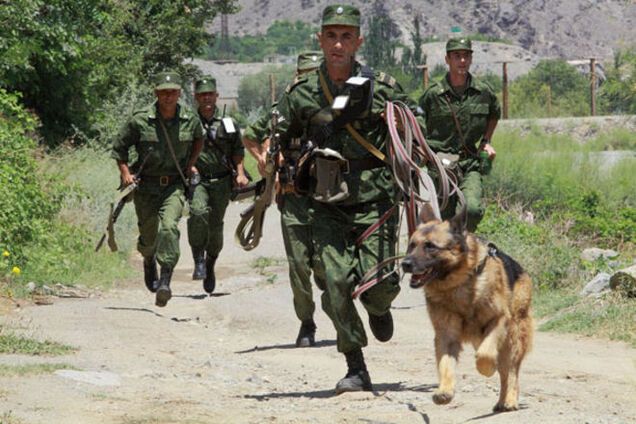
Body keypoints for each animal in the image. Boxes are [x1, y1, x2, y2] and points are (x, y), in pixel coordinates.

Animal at [402, 205, 532, 410]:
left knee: (510, 370)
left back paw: (510, 399)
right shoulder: (446, 335)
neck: (459, 284)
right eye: (412, 245)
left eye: (430, 246)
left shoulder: (499, 320)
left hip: (513, 336)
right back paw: (501, 401)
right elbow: (445, 365)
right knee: (504, 371)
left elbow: (485, 356)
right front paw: (444, 391)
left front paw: (487, 369)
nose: (405, 264)